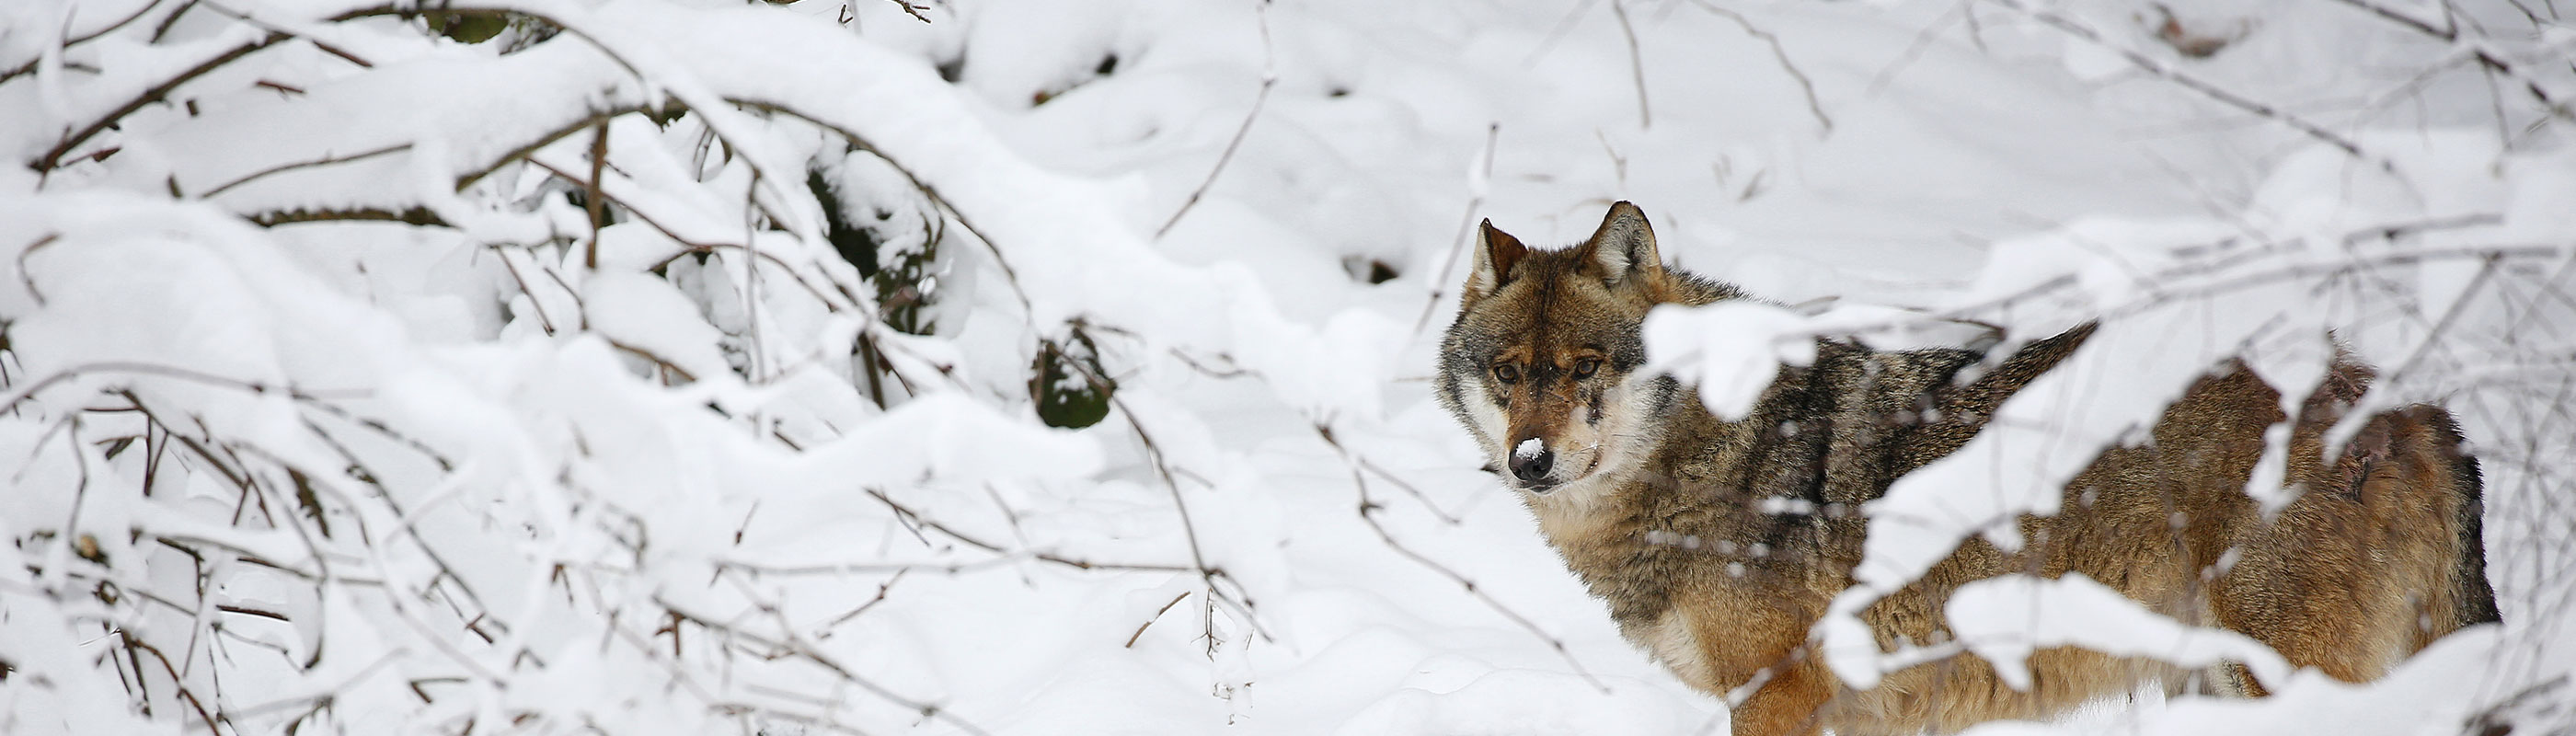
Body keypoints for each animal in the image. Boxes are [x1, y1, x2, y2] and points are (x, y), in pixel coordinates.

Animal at [1432, 201, 2493, 736]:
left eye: (1585, 369)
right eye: (1509, 373)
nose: (1532, 460)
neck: (1713, 448)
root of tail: (2414, 404)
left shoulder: (1781, 699)